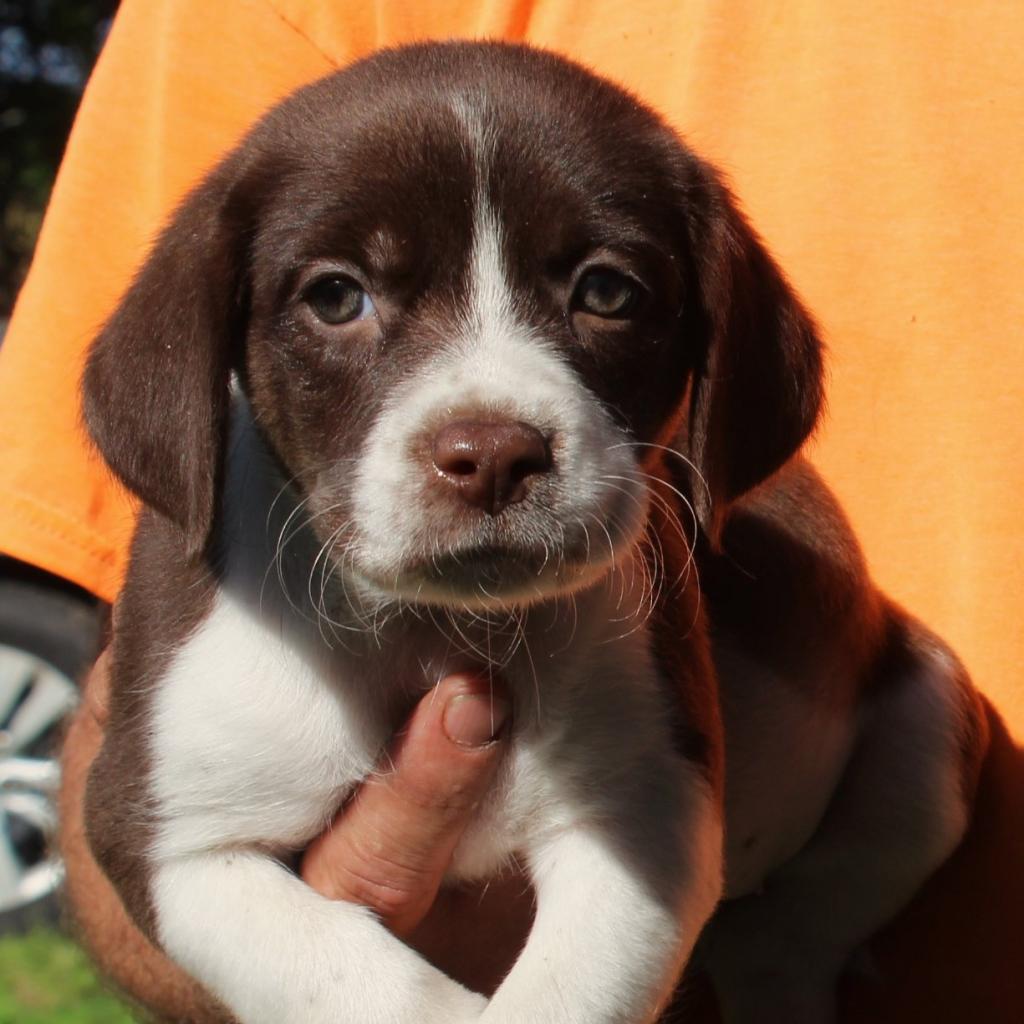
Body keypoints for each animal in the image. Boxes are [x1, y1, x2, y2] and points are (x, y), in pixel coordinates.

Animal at [79, 41, 983, 1024]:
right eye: (336, 296)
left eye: (607, 291)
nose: (492, 455)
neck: (429, 631)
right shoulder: (175, 840)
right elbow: (360, 978)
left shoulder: (646, 807)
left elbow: (566, 994)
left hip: (929, 718)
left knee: (791, 934)